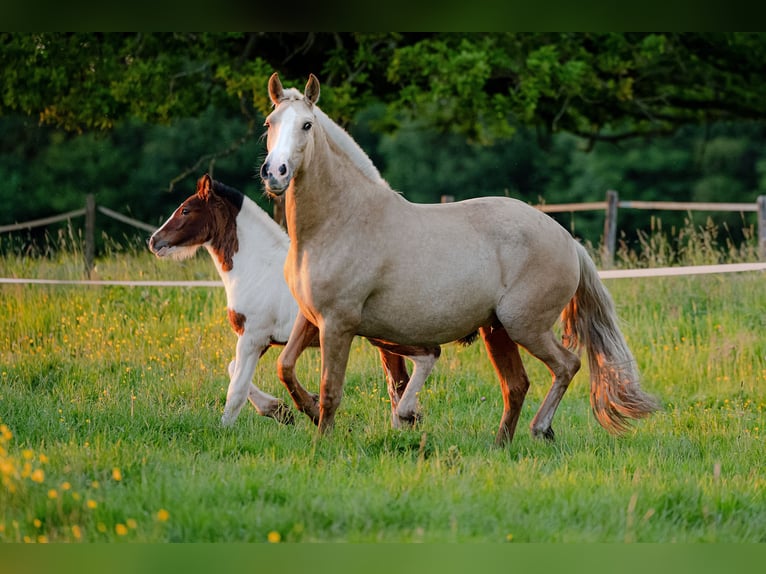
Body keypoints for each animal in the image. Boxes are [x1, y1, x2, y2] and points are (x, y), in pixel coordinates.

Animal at [148, 173, 444, 430]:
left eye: (186, 210)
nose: (154, 241)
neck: (258, 267)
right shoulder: (263, 339)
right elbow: (233, 369)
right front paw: (281, 410)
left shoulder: (253, 336)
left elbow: (236, 390)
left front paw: (226, 429)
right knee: (398, 382)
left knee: (417, 365)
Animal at [262, 75, 660, 446]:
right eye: (270, 122)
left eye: (307, 125)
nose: (275, 172)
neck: (341, 220)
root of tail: (567, 240)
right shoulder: (311, 318)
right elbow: (285, 367)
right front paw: (305, 410)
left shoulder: (338, 323)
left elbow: (331, 389)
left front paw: (322, 439)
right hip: (496, 330)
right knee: (516, 385)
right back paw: (500, 445)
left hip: (524, 326)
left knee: (566, 365)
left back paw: (540, 429)